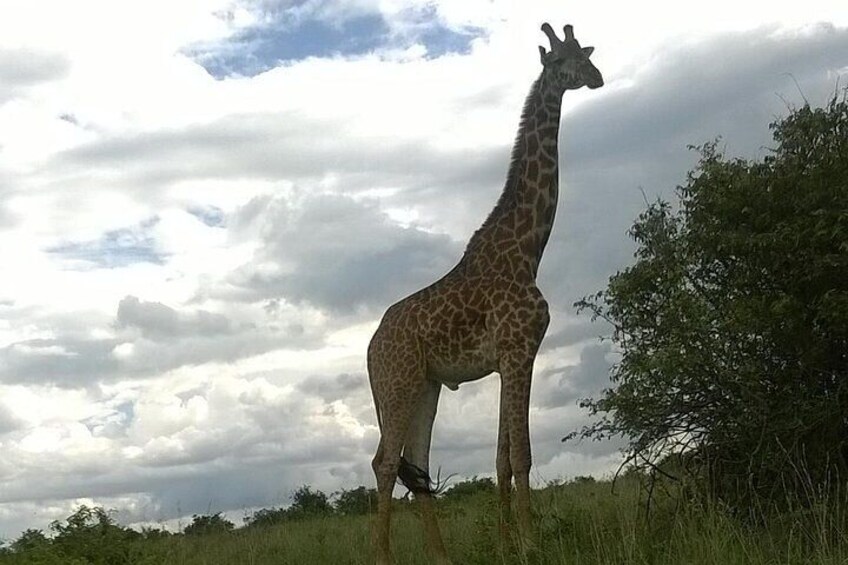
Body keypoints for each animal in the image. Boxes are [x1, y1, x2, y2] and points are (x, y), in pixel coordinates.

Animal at [368, 23, 600, 564]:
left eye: (586, 55)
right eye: (563, 62)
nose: (597, 77)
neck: (529, 248)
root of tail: (369, 348)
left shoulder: (512, 358)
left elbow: (502, 458)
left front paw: (505, 543)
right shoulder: (517, 351)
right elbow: (523, 454)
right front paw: (532, 543)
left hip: (427, 387)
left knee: (416, 464)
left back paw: (442, 556)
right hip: (397, 384)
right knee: (386, 463)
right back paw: (383, 556)